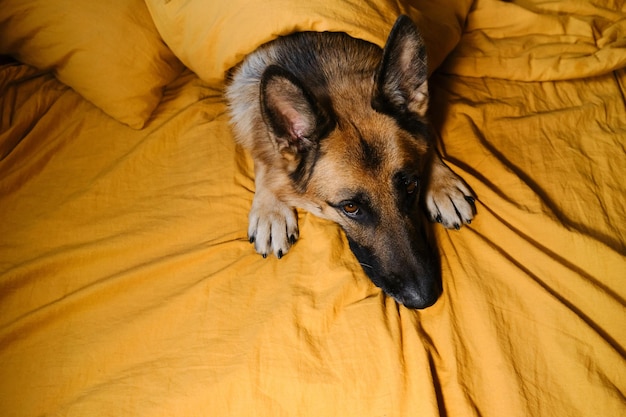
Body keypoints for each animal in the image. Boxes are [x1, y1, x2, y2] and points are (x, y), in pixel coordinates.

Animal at [224, 14, 472, 308]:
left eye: (412, 185)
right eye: (350, 207)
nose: (425, 298)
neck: (322, 67)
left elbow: (424, 134)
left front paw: (442, 183)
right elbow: (265, 155)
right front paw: (270, 209)